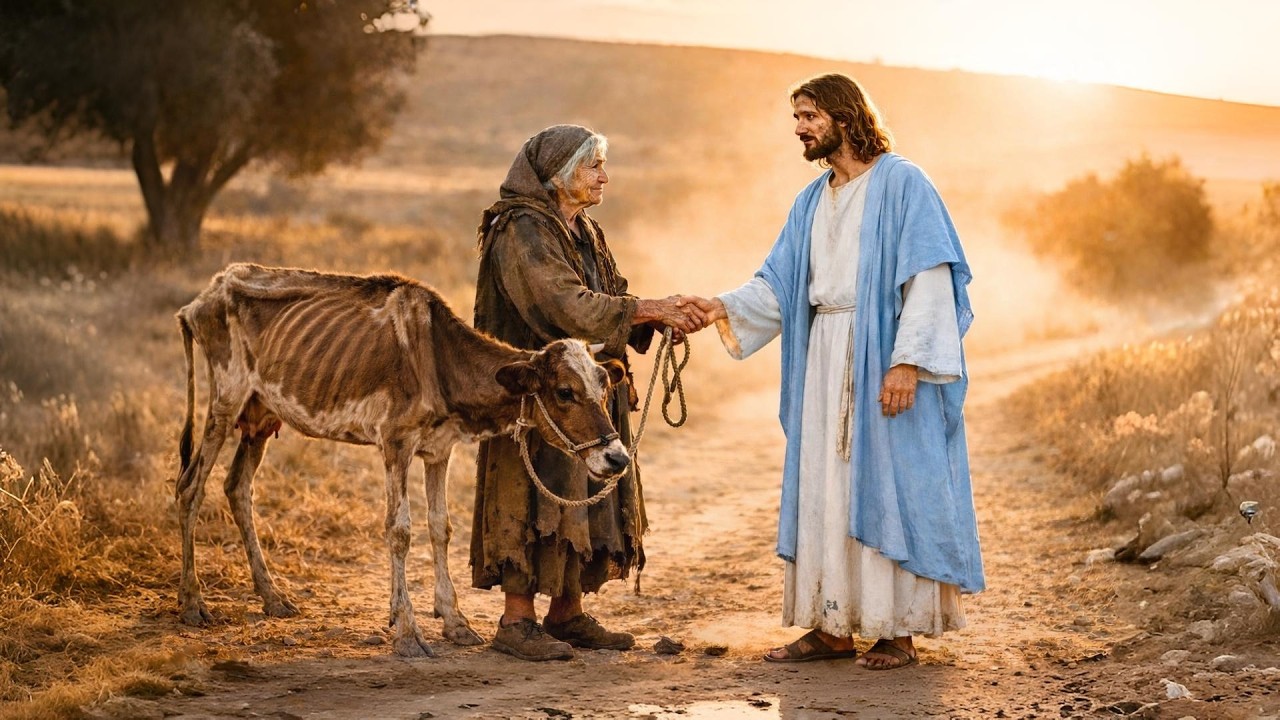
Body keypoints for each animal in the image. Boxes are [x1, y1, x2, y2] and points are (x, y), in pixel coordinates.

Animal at [174, 263, 630, 657]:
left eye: (605, 387)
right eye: (565, 392)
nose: (617, 456)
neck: (441, 359)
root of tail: (209, 291)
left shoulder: (439, 448)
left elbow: (441, 527)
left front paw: (455, 621)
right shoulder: (394, 442)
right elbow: (400, 531)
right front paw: (408, 630)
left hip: (261, 413)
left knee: (237, 487)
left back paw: (272, 596)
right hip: (225, 400)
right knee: (190, 488)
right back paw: (192, 602)